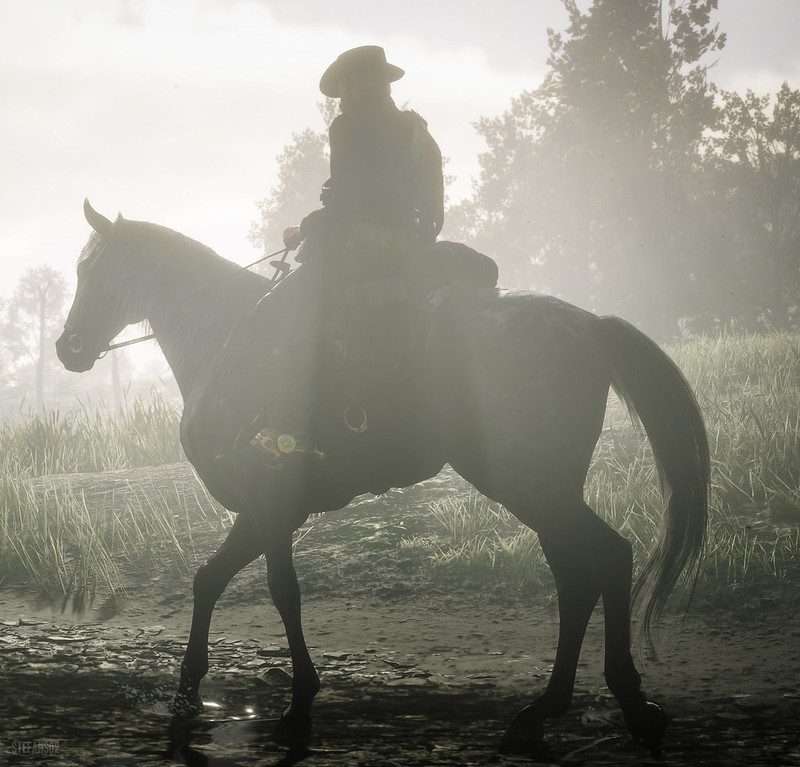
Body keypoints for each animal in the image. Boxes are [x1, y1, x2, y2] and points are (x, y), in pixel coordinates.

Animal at [54, 200, 708, 756]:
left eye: (90, 270)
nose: (67, 349)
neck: (223, 339)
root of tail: (591, 326)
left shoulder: (271, 505)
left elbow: (282, 592)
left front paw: (299, 700)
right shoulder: (261, 512)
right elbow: (208, 581)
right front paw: (187, 691)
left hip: (532, 486)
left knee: (602, 562)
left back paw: (606, 705)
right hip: (546, 490)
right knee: (585, 574)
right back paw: (561, 710)